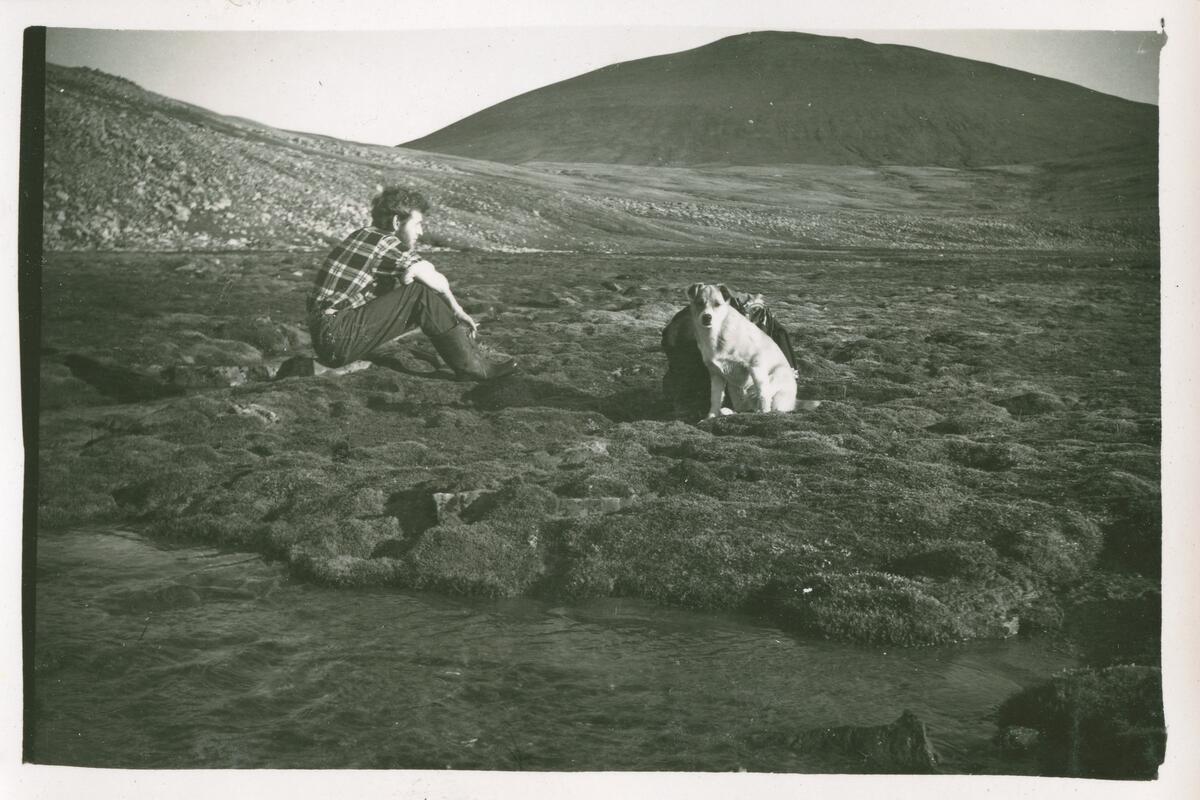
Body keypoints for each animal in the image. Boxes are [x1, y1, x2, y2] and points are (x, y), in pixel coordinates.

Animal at [686, 281, 796, 419]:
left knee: (769, 403)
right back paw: (728, 411)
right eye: (699, 303)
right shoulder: (716, 375)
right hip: (735, 391)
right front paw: (710, 417)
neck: (716, 334)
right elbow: (715, 399)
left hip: (774, 377)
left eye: (717, 304)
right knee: (743, 409)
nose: (707, 317)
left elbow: (763, 394)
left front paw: (764, 413)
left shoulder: (756, 364)